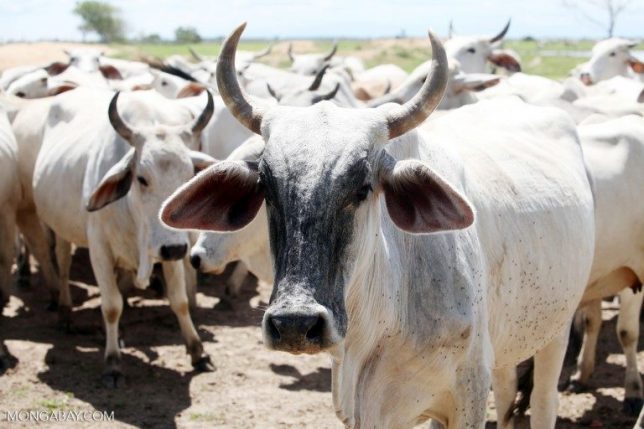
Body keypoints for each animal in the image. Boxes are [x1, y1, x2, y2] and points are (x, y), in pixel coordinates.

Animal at [31, 88, 216, 384]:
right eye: (141, 178)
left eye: (189, 178)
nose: (175, 249)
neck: (134, 217)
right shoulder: (100, 250)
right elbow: (111, 306)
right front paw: (113, 363)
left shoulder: (169, 251)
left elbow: (179, 301)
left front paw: (197, 351)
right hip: (61, 230)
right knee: (64, 266)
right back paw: (65, 313)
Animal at [164, 24, 596, 428]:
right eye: (266, 188)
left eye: (362, 187)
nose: (294, 324)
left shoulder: (469, 395)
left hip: (555, 329)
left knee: (542, 402)